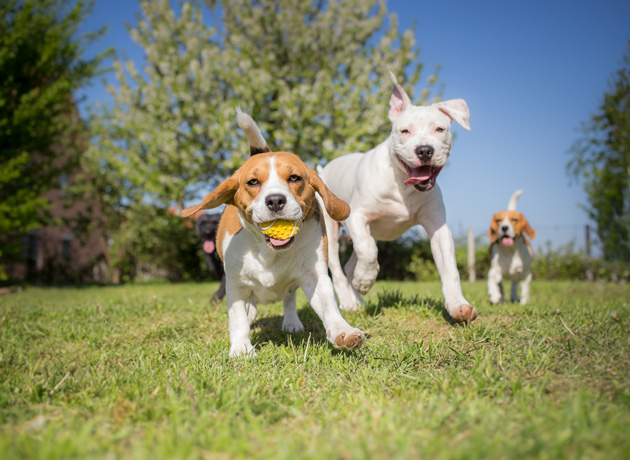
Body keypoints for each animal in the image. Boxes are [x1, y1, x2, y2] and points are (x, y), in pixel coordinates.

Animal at [320, 73, 478, 324]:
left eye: (439, 129)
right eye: (405, 131)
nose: (424, 150)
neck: (403, 186)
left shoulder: (438, 228)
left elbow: (450, 270)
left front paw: (458, 305)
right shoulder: (357, 216)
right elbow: (368, 250)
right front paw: (365, 280)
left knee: (350, 264)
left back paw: (359, 299)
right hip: (332, 228)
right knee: (337, 266)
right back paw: (349, 301)